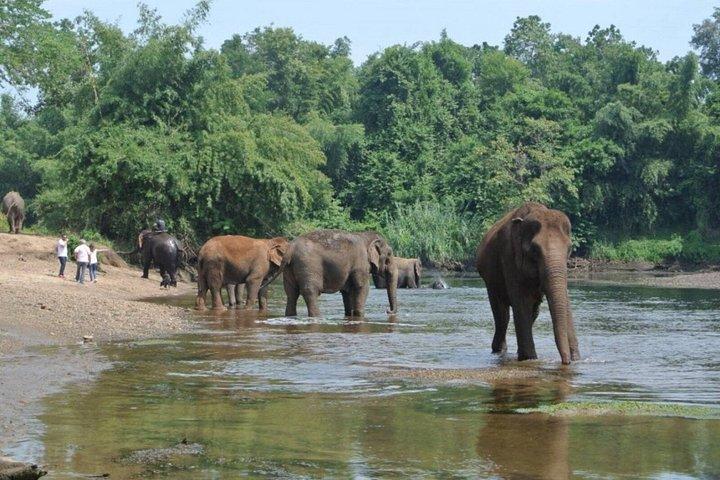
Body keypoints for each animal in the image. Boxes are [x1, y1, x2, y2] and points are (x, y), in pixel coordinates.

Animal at [475, 202, 580, 365]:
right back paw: (499, 350)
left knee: (533, 312)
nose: (566, 361)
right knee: (501, 315)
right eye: (535, 250)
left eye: (569, 249)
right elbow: (521, 301)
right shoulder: (509, 257)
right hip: (490, 279)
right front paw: (529, 359)